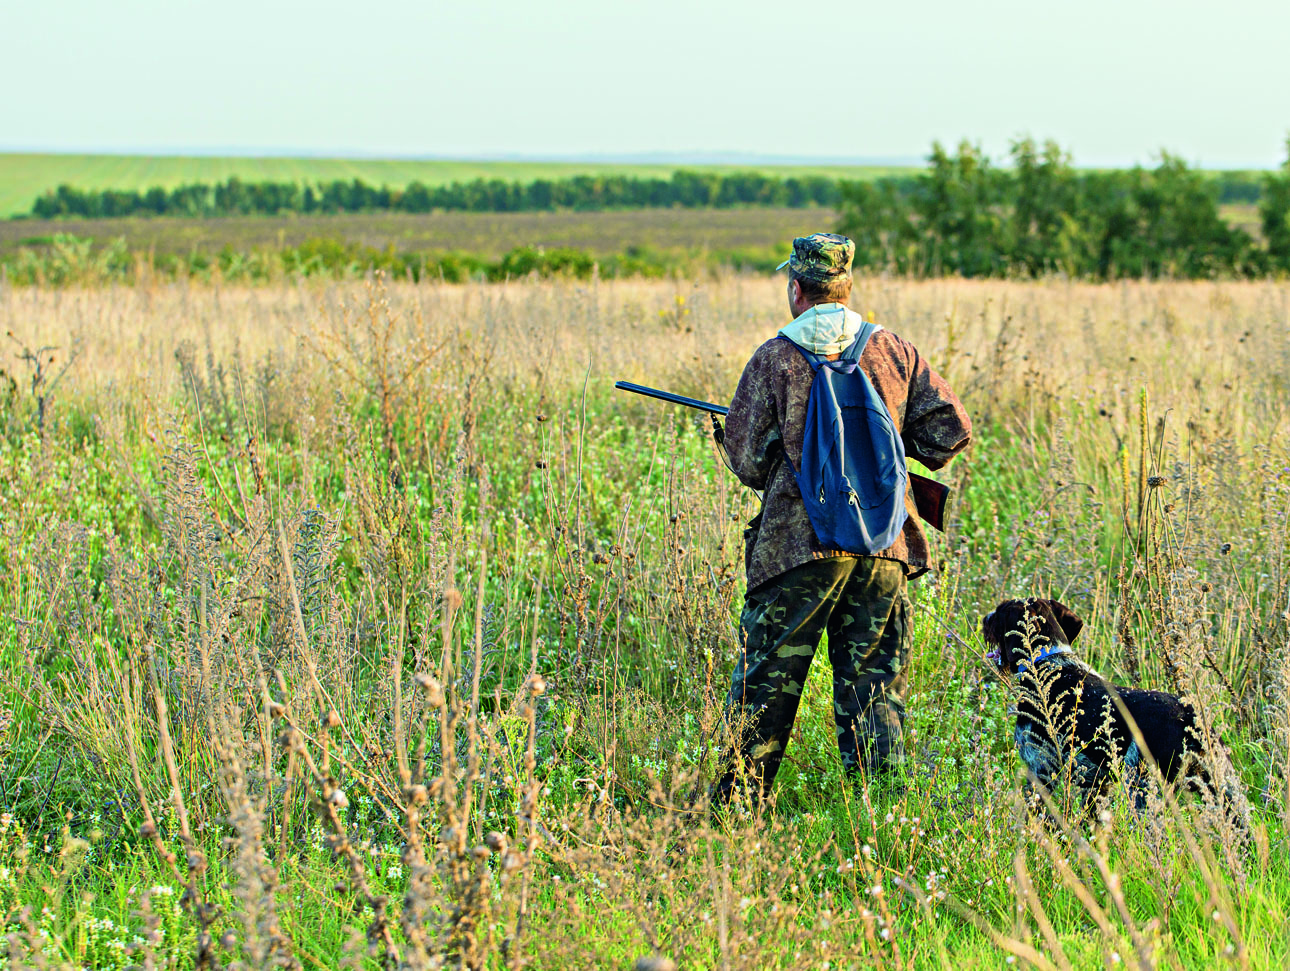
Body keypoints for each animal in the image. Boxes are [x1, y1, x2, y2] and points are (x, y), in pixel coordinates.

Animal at [980, 598, 1243, 825]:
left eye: (1000, 611)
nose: (984, 618)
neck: (1049, 661)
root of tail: (1189, 717)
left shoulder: (1041, 769)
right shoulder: (1096, 785)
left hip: (1142, 790)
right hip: (1227, 794)